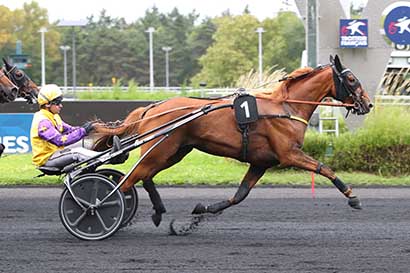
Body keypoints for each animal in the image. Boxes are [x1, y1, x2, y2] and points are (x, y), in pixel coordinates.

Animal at [92, 54, 372, 225]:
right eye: (351, 79)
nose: (368, 104)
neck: (286, 106)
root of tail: (152, 107)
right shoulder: (289, 154)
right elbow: (324, 167)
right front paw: (353, 197)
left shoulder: (261, 162)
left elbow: (240, 195)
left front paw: (203, 209)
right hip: (161, 150)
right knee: (130, 181)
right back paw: (98, 210)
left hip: (174, 151)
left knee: (144, 176)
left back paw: (157, 212)